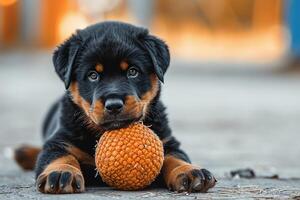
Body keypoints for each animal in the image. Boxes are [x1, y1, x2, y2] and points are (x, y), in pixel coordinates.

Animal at [14, 21, 216, 194]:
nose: (113, 105)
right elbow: (60, 156)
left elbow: (175, 157)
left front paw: (190, 171)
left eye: (133, 71)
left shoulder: (167, 141)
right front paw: (62, 172)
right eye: (93, 75)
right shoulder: (59, 141)